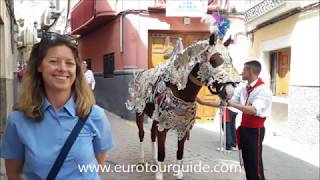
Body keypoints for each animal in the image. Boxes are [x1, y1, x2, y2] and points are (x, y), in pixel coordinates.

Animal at [125, 13, 240, 179]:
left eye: (231, 60)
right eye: (214, 59)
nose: (229, 91)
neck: (181, 92)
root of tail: (140, 74)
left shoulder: (183, 128)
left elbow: (180, 152)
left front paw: (177, 173)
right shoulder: (163, 126)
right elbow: (162, 152)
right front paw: (159, 174)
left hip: (155, 118)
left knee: (152, 134)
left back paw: (153, 160)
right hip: (139, 112)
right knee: (141, 134)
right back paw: (142, 161)